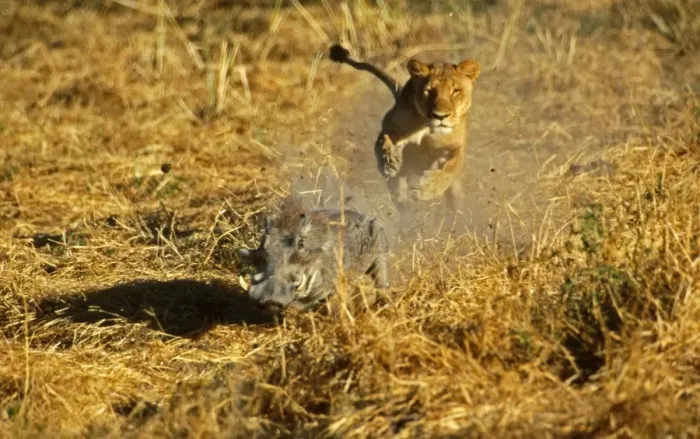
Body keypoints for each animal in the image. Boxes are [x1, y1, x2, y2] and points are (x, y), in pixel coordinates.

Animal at [328, 44, 480, 212]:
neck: (427, 127)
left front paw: (428, 188)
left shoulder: (454, 146)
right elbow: (383, 142)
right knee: (402, 199)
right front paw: (390, 161)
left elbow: (452, 167)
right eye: (429, 91)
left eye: (455, 91)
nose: (440, 116)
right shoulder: (391, 126)